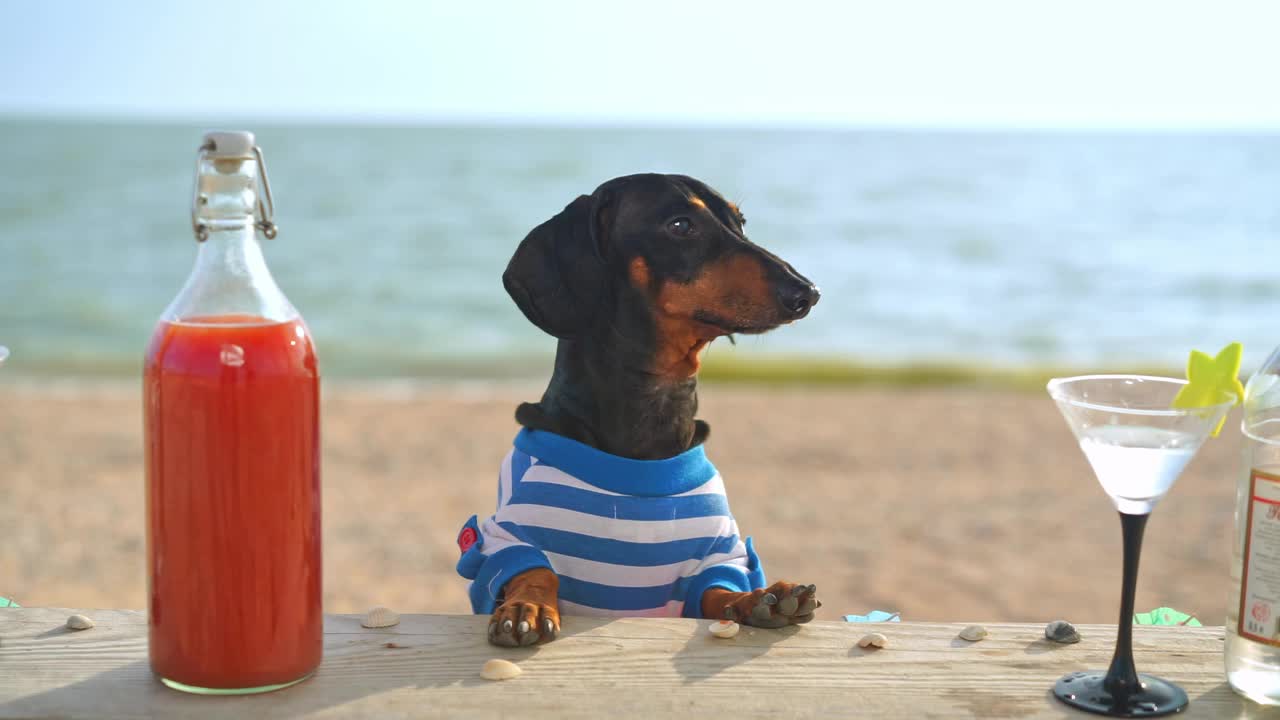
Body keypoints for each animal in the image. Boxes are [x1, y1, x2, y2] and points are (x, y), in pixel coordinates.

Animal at [458, 174, 819, 645]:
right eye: (681, 225)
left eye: (740, 222)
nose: (807, 292)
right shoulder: (503, 541)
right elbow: (533, 569)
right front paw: (529, 606)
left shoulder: (718, 555)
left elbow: (718, 592)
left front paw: (756, 600)